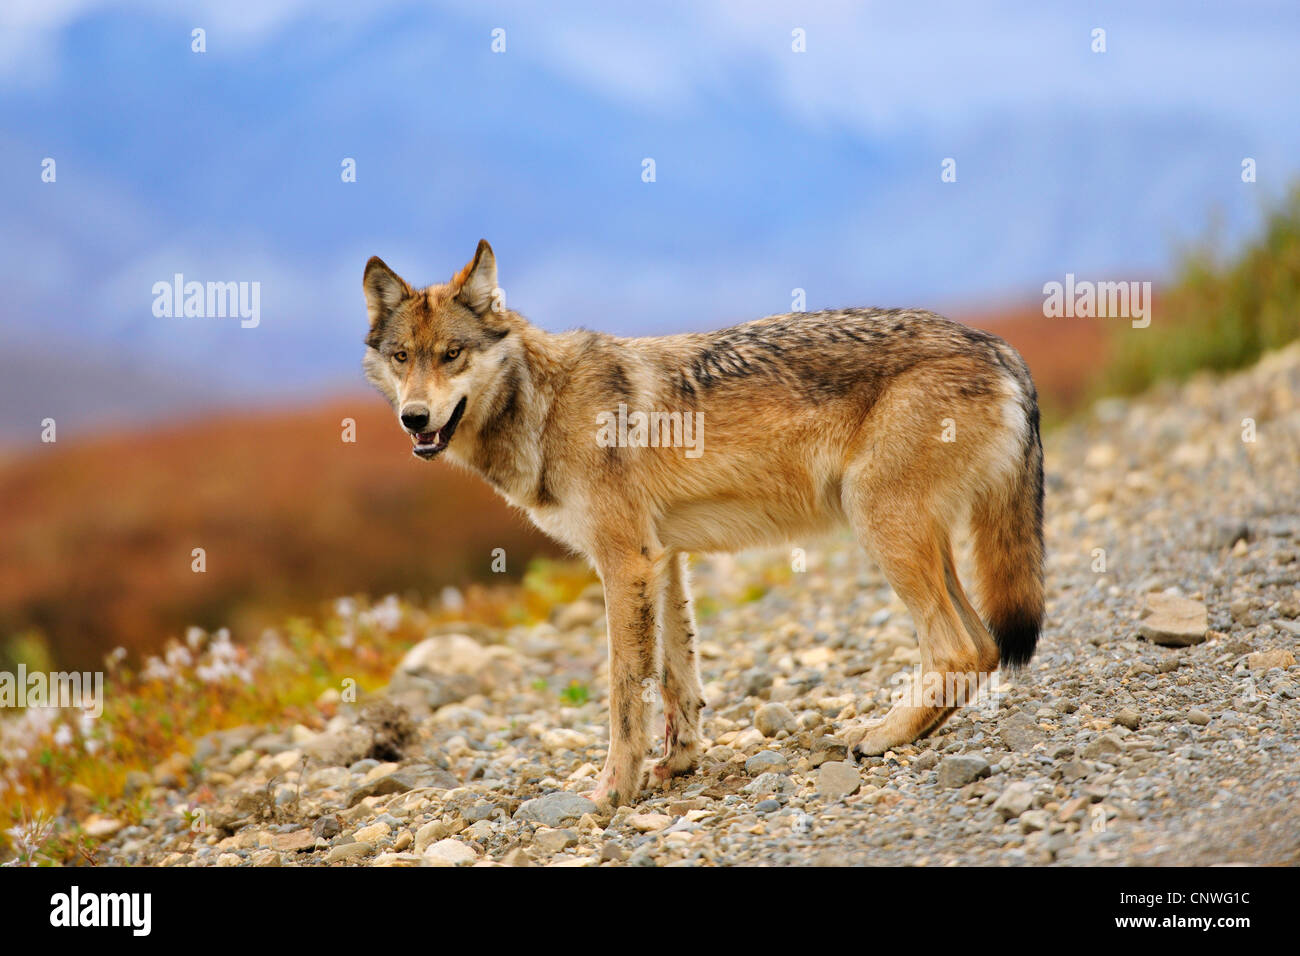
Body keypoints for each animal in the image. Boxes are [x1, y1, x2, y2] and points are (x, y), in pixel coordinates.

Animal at [362, 240, 1044, 808]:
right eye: (402, 357)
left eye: (452, 355)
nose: (413, 418)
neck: (545, 407)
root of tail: (999, 347)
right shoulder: (662, 558)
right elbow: (675, 676)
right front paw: (678, 763)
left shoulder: (625, 562)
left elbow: (624, 691)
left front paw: (613, 790)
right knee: (984, 647)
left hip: (880, 525)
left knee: (958, 649)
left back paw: (880, 736)